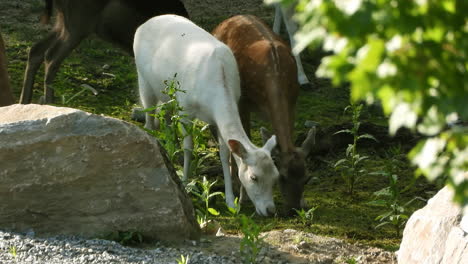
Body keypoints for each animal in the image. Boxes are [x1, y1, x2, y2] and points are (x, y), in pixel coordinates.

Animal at [19, 0, 188, 104]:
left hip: (65, 21)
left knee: (36, 50)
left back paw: (24, 103)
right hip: (79, 22)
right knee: (51, 57)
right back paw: (50, 104)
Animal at [133, 14, 280, 217]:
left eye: (276, 176)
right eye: (253, 177)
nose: (270, 210)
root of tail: (145, 23)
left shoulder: (217, 119)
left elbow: (224, 154)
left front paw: (231, 201)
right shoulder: (185, 108)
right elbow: (188, 147)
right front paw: (185, 184)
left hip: (167, 95)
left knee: (167, 119)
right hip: (144, 81)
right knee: (149, 118)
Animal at [213, 14, 316, 214]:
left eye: (307, 178)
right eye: (282, 176)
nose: (293, 209)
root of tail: (229, 19)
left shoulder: (292, 104)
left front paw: (304, 201)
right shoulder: (243, 103)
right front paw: (243, 197)